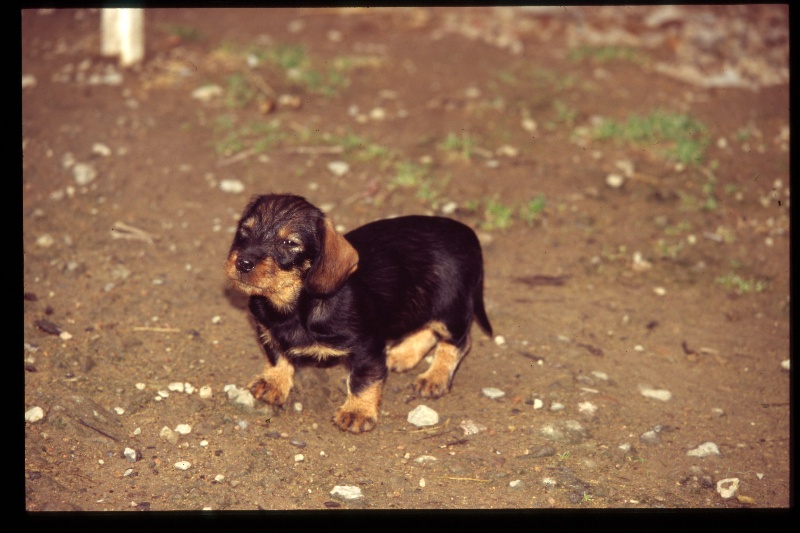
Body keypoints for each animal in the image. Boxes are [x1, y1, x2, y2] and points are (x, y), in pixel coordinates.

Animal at [222, 192, 490, 432]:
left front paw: (357, 412)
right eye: (245, 231)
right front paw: (273, 382)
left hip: (450, 308)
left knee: (458, 342)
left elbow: (362, 380)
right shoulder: (267, 330)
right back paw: (402, 354)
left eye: (289, 243)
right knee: (427, 330)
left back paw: (435, 377)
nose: (243, 263)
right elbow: (277, 356)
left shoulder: (366, 347)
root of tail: (467, 234)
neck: (295, 306)